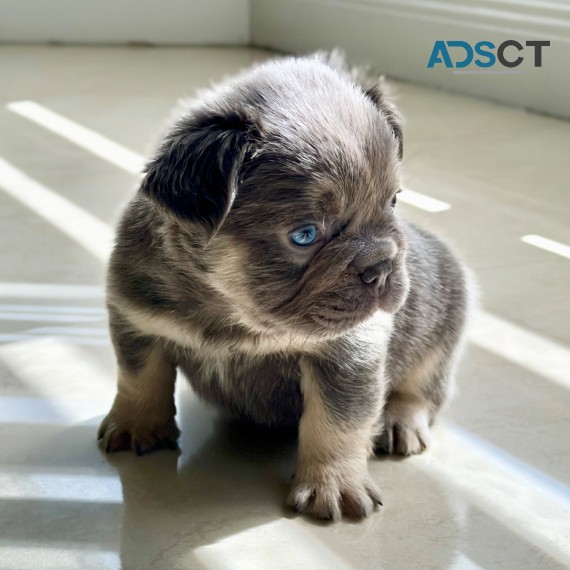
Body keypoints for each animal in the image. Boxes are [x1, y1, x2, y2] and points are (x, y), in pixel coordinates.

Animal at [98, 53, 470, 520]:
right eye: (305, 235)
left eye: (393, 202)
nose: (381, 265)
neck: (231, 310)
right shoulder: (139, 323)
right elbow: (140, 378)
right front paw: (138, 424)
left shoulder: (345, 358)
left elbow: (336, 423)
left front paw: (333, 484)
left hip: (438, 338)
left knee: (421, 391)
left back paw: (400, 419)